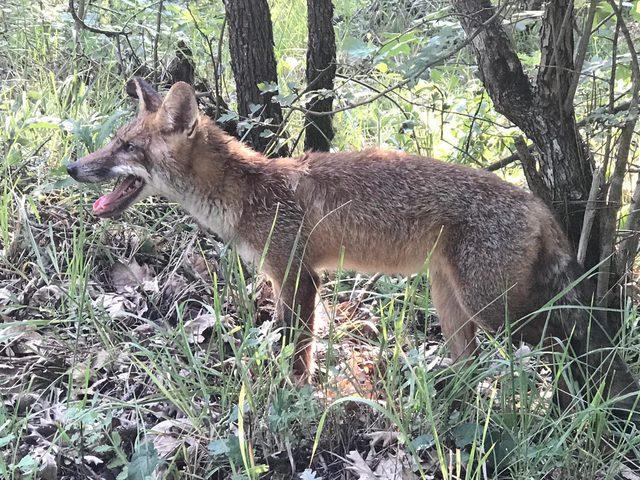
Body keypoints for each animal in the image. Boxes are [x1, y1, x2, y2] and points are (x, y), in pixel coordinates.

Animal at [67, 77, 636, 418]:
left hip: (498, 313)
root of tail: (534, 201)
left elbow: (296, 351)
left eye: (126, 147)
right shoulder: (292, 278)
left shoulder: (298, 277)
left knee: (564, 345)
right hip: (452, 304)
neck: (248, 193)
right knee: (473, 365)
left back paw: (563, 406)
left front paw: (292, 399)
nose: (72, 167)